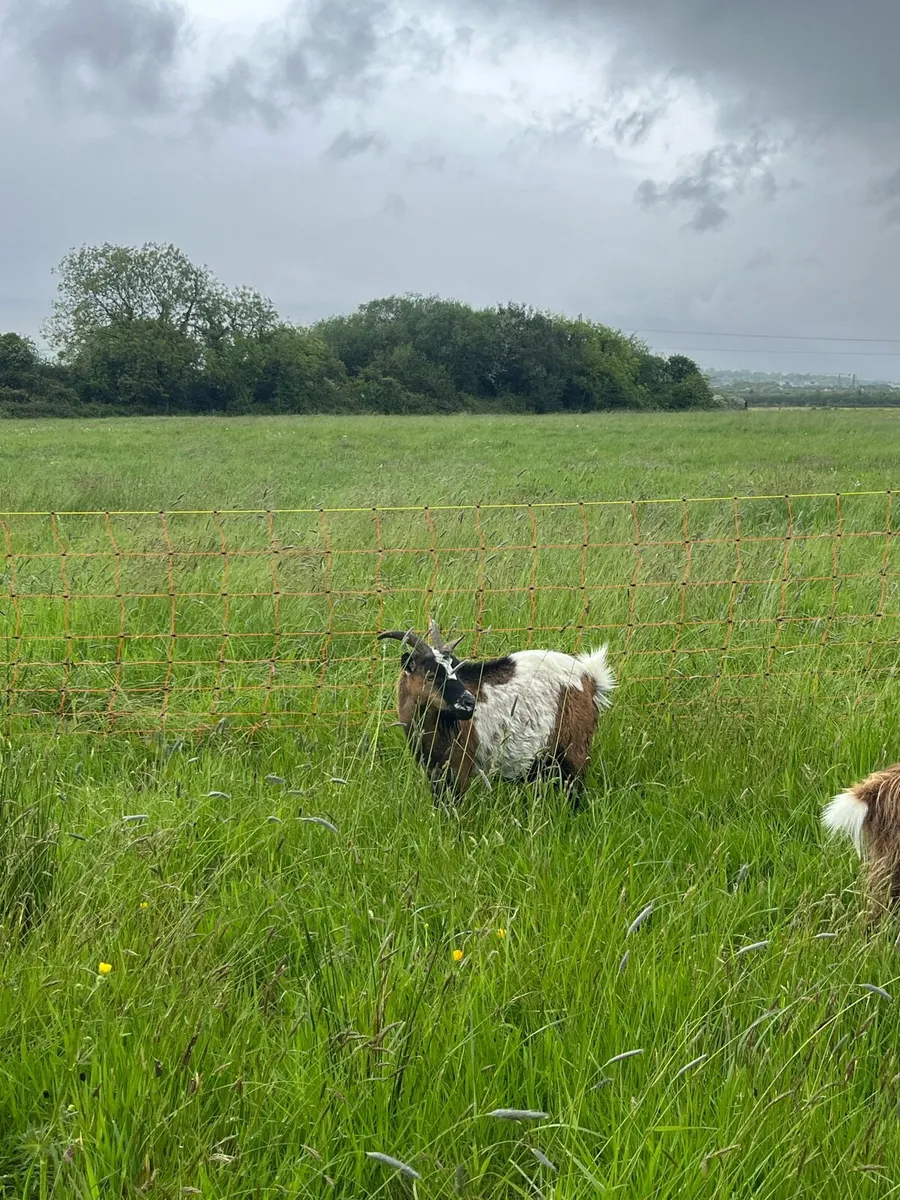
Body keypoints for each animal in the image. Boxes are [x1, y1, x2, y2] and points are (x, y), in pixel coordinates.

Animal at [378, 621, 615, 806]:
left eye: (456, 671)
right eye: (429, 675)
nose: (469, 703)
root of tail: (590, 678)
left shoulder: (460, 766)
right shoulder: (434, 770)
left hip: (575, 749)